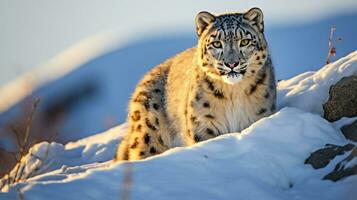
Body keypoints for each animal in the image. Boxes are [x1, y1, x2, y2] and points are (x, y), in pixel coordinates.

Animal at [115, 7, 274, 161]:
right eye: (217, 43)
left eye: (245, 41)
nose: (231, 63)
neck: (233, 92)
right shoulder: (203, 124)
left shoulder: (257, 117)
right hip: (148, 135)